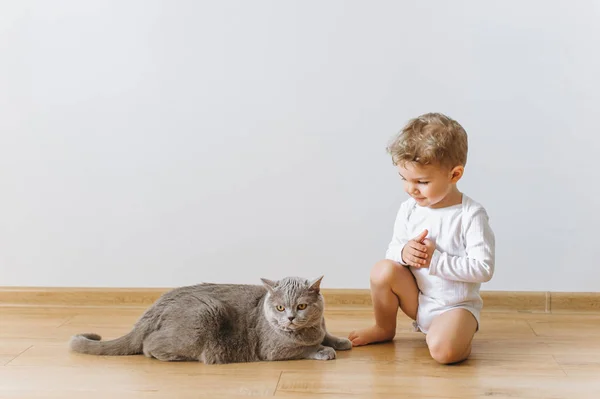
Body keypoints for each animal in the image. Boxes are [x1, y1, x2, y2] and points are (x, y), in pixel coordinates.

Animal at [69, 276, 352, 364]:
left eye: (302, 306)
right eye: (280, 307)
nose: (291, 317)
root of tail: (156, 306)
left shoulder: (320, 326)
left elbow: (326, 334)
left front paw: (342, 341)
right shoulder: (273, 350)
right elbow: (305, 348)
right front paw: (324, 350)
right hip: (206, 313)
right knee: (149, 345)